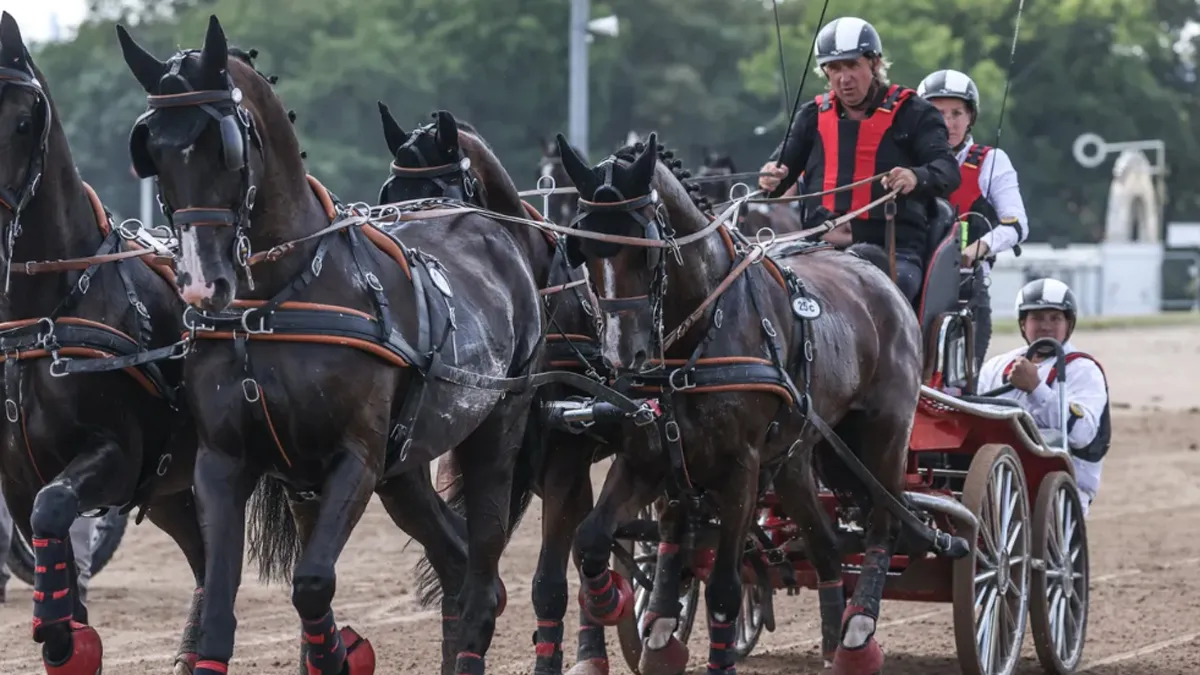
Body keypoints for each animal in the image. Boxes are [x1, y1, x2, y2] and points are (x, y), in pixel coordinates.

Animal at [0, 13, 204, 672]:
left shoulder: (115, 454)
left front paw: (67, 638)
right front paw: (64, 631)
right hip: (172, 489)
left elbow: (54, 512)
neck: (47, 314)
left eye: (23, 119)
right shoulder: (17, 477)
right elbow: (48, 544)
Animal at [117, 15, 544, 672]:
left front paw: (340, 654)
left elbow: (312, 583)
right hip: (404, 470)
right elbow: (217, 602)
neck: (276, 301)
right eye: (153, 151)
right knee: (458, 565)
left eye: (224, 146)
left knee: (481, 573)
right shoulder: (225, 461)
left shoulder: (355, 457)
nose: (200, 283)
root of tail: (490, 228)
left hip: (495, 432)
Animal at [552, 131, 926, 672]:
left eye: (646, 251)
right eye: (582, 248)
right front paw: (612, 603)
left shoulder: (740, 469)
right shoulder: (645, 459)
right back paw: (831, 637)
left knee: (883, 521)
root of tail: (874, 271)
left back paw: (858, 632)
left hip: (884, 436)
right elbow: (592, 539)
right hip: (796, 458)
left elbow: (725, 589)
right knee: (826, 546)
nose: (624, 355)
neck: (700, 336)